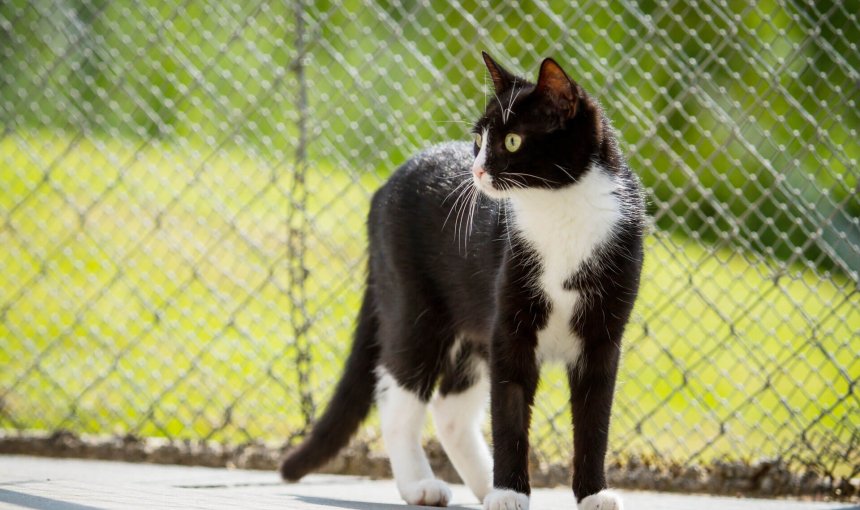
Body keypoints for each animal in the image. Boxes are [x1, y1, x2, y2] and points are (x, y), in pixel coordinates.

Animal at [280, 52, 644, 510]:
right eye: (478, 140)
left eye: (512, 141)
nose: (477, 169)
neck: (558, 213)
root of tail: (386, 185)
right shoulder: (509, 329)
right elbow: (509, 413)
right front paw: (510, 492)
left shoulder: (603, 337)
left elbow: (595, 418)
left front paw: (593, 494)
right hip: (414, 307)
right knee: (397, 395)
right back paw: (422, 485)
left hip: (472, 331)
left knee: (449, 409)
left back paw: (484, 485)